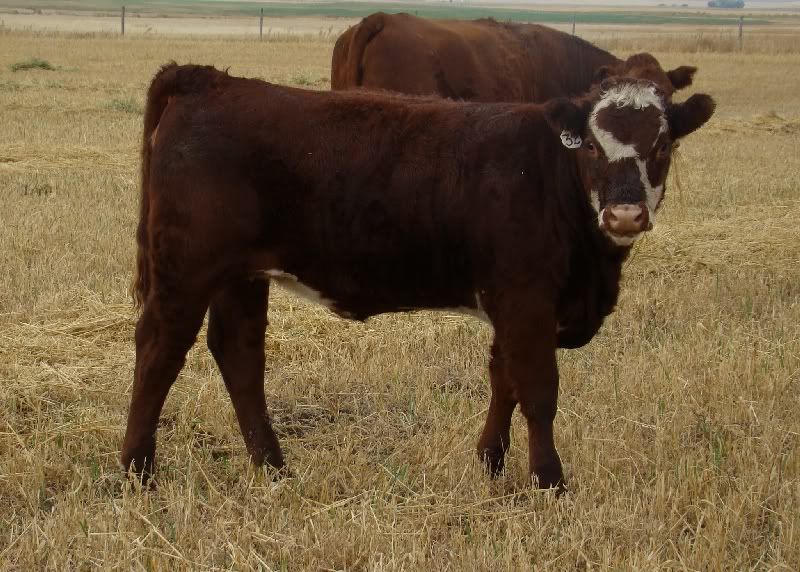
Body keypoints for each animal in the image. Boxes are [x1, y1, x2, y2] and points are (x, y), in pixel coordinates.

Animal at [121, 63, 714, 490]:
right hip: (186, 271)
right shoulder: (525, 299)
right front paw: (550, 481)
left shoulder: (511, 304)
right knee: (158, 353)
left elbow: (504, 380)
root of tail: (208, 80)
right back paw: (137, 471)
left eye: (662, 146)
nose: (625, 214)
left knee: (239, 355)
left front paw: (491, 464)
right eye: (591, 145)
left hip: (240, 275)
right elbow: (538, 390)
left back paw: (272, 468)